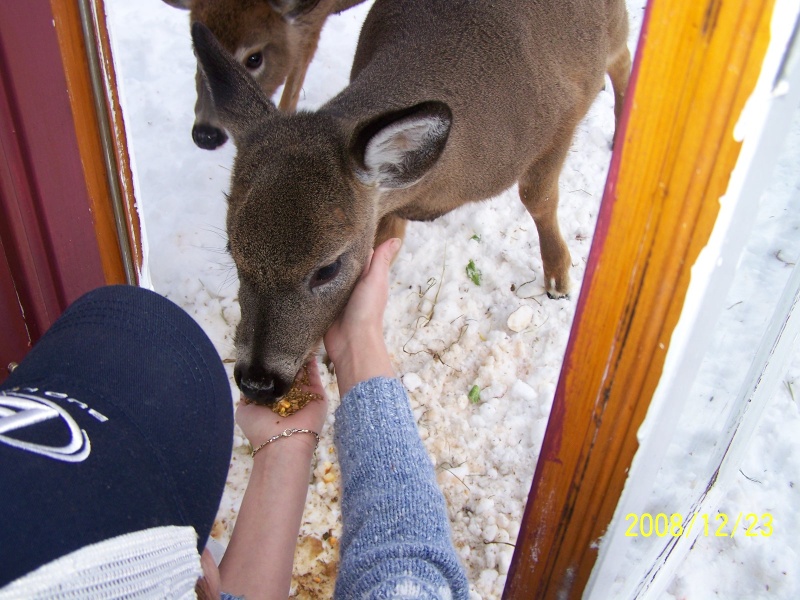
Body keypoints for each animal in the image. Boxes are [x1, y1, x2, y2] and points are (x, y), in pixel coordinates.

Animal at [189, 0, 632, 406]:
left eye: (327, 268)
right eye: (233, 251)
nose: (256, 382)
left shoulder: (562, 117)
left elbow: (538, 197)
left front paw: (558, 277)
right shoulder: (389, 204)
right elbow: (388, 242)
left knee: (624, 58)